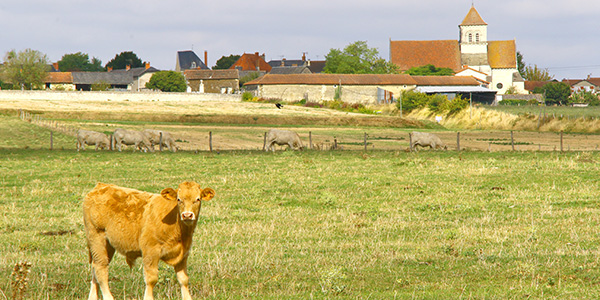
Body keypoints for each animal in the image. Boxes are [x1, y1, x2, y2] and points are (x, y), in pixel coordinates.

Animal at [83, 180, 216, 300]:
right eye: (179, 199)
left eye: (198, 199)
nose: (187, 215)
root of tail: (101, 186)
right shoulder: (150, 251)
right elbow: (151, 279)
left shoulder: (183, 254)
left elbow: (183, 279)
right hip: (96, 238)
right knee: (100, 269)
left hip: (108, 245)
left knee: (96, 267)